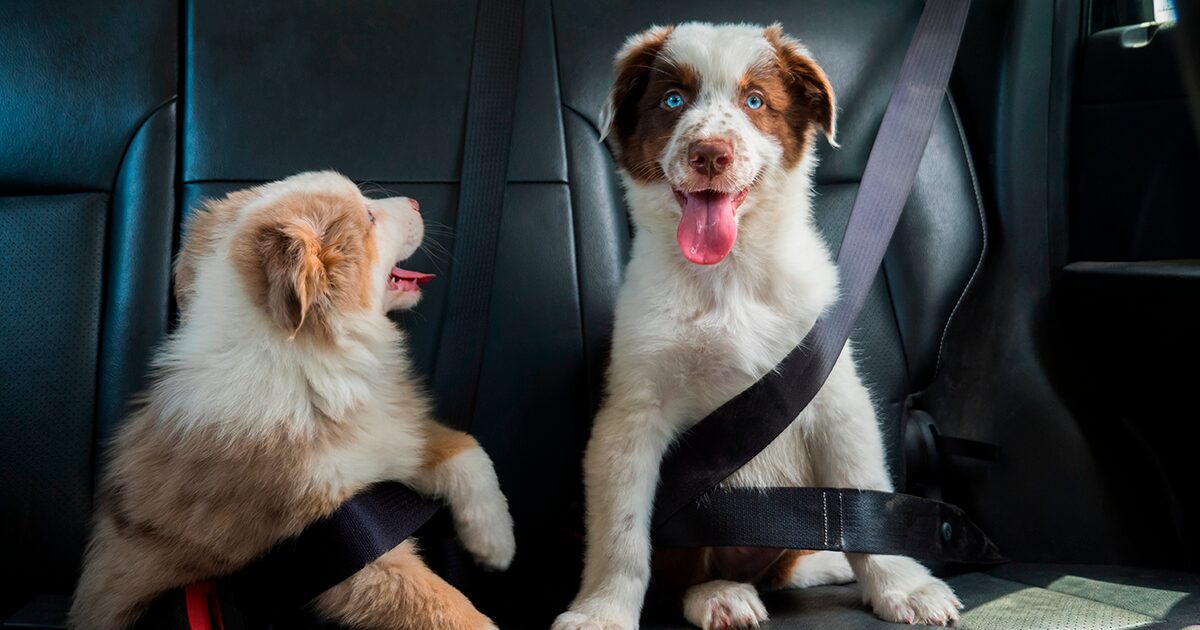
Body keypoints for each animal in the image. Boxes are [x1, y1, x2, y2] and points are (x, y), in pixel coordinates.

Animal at [68, 171, 513, 628]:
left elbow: (468, 450)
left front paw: (496, 544)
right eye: (369, 217)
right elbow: (443, 608)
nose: (416, 202)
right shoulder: (337, 550)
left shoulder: (393, 433)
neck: (307, 357)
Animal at [554, 22, 964, 624]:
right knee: (688, 577)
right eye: (672, 100)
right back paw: (720, 595)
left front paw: (904, 586)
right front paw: (602, 611)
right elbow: (621, 535)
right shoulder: (630, 413)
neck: (729, 276)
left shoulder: (834, 393)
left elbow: (865, 497)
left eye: (754, 101)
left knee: (786, 566)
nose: (709, 154)